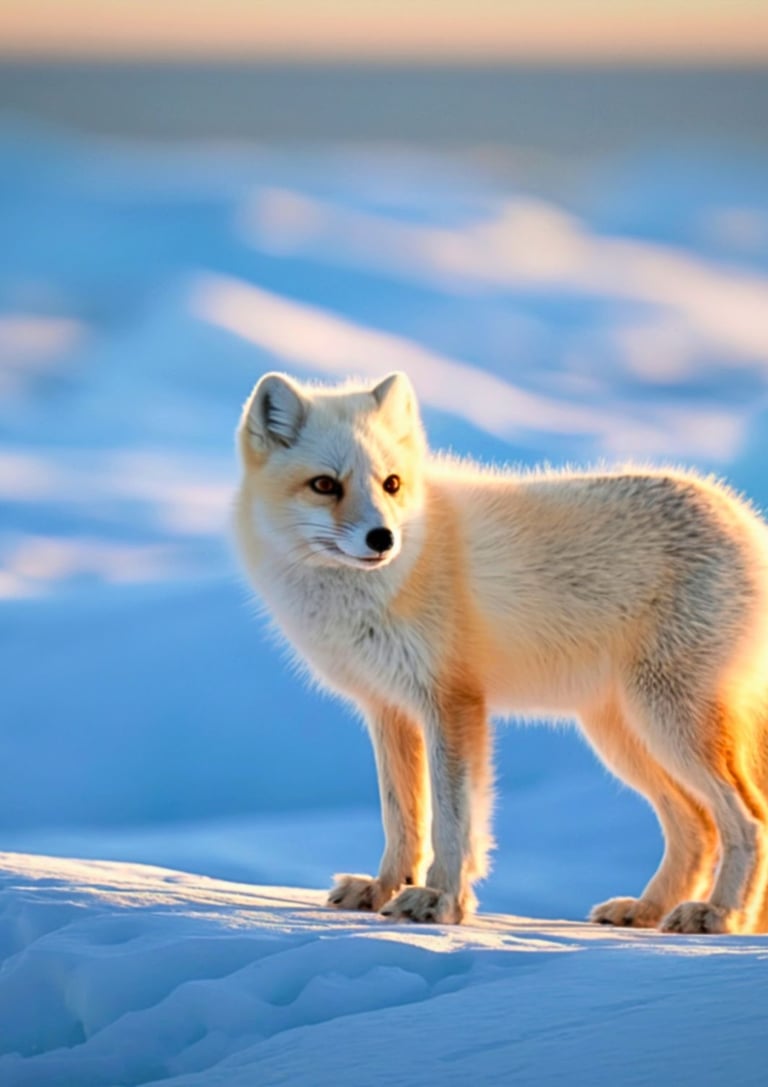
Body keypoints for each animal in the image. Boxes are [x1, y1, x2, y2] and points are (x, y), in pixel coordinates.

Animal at [235, 369, 768, 934]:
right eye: (325, 485)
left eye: (391, 484)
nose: (383, 539)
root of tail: (746, 519)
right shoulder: (388, 709)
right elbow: (402, 818)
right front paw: (383, 890)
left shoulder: (452, 703)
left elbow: (453, 820)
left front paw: (440, 901)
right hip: (622, 735)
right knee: (697, 828)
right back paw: (646, 910)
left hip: (667, 724)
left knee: (749, 821)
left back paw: (720, 914)